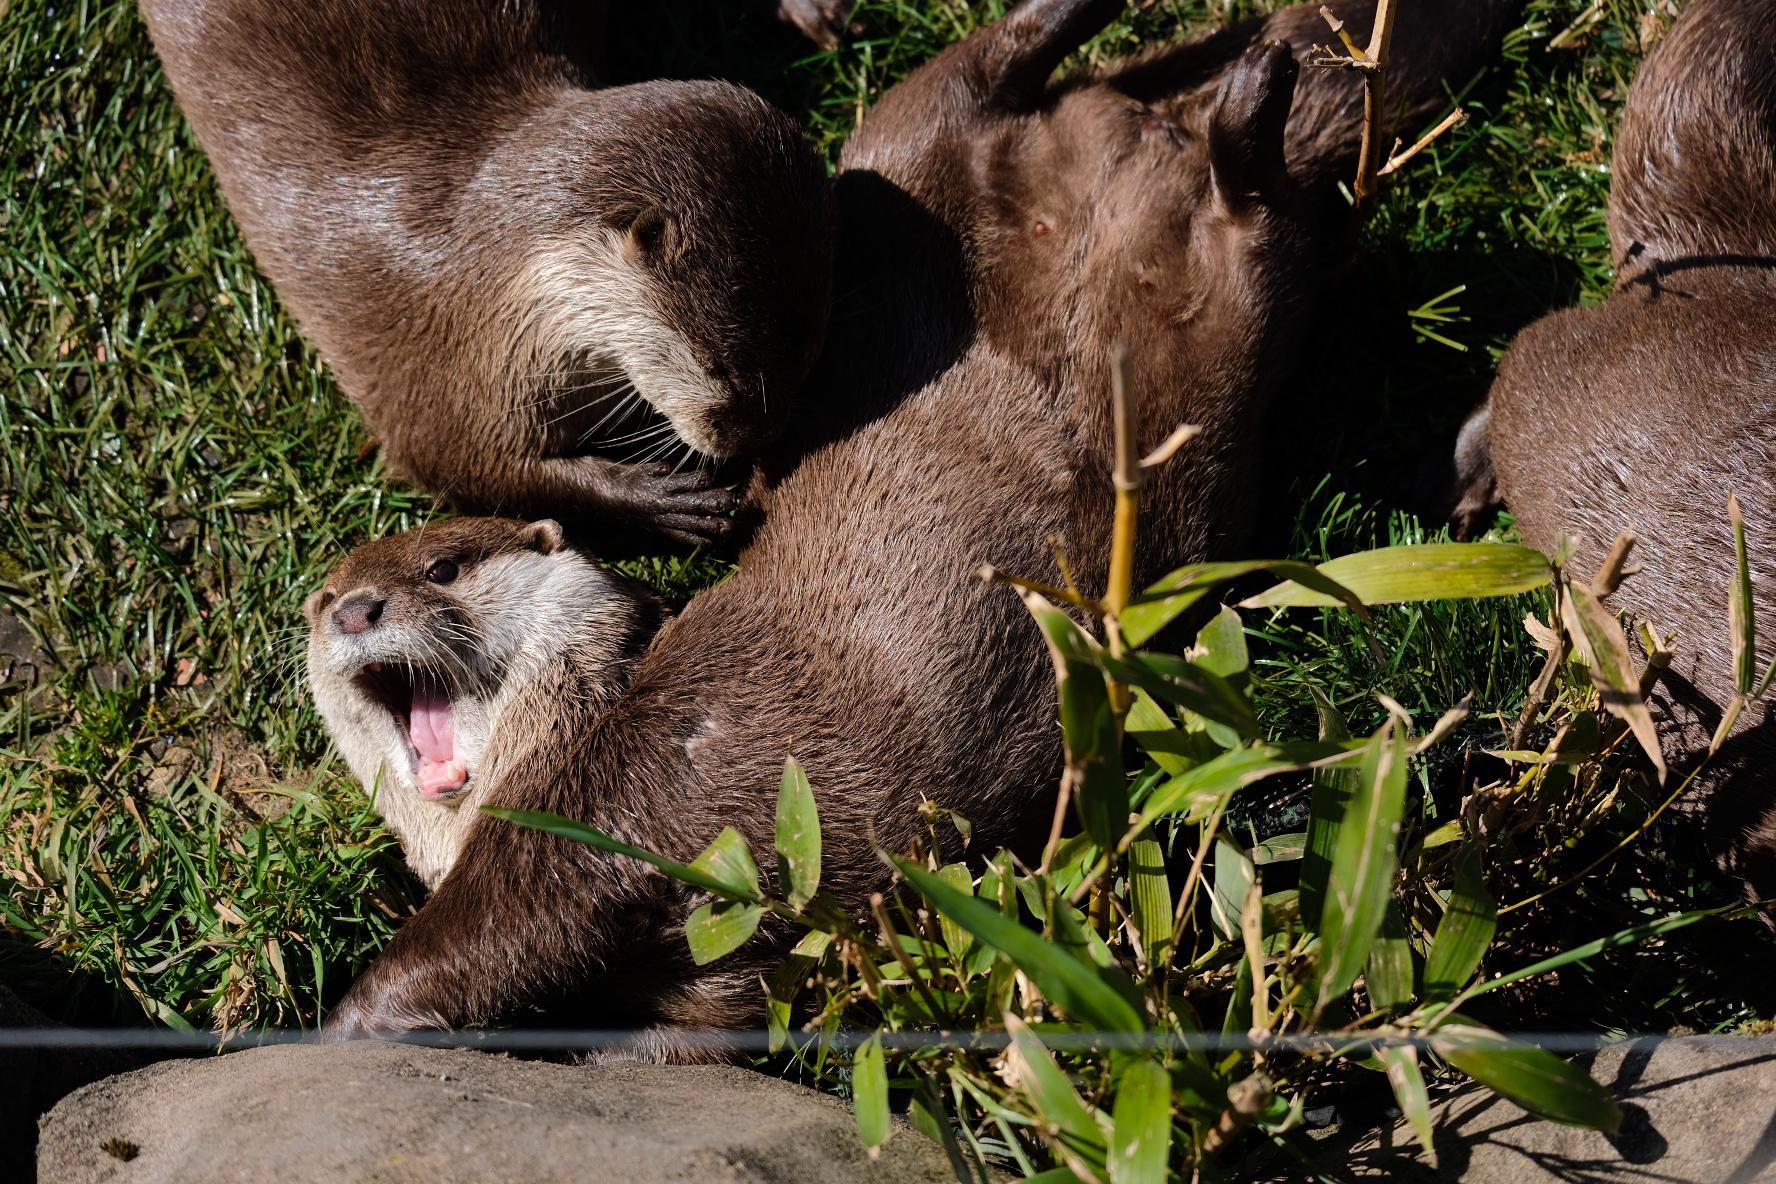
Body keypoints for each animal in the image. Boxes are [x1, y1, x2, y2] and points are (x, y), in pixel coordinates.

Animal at [138, 0, 833, 549]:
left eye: (806, 360)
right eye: (720, 366)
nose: (759, 439)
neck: (489, 278)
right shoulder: (440, 374)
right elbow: (470, 467)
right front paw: (659, 500)